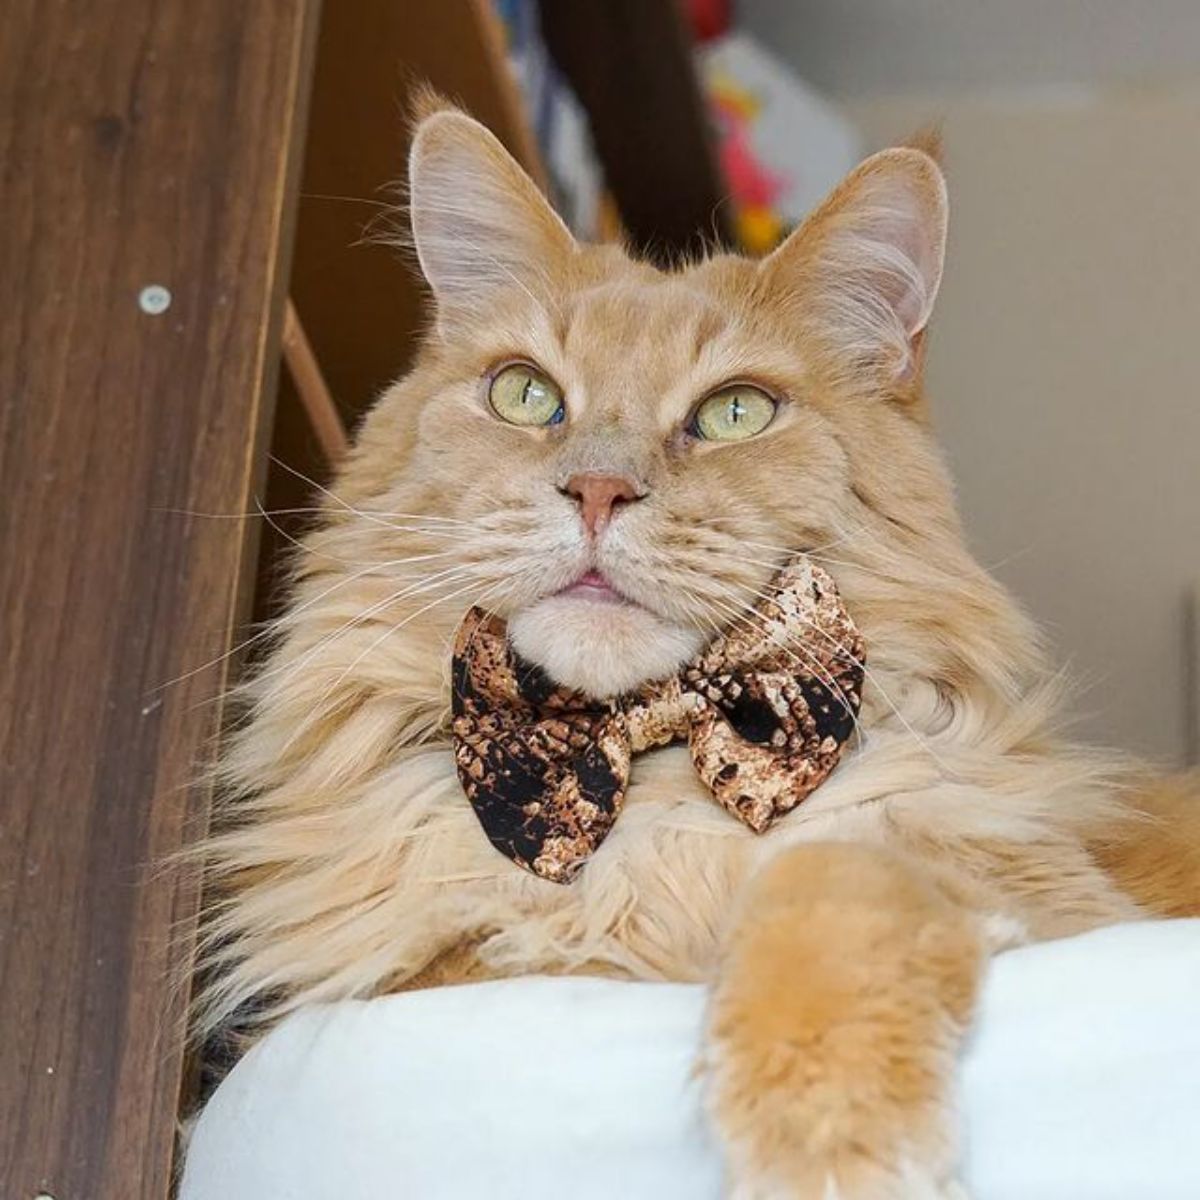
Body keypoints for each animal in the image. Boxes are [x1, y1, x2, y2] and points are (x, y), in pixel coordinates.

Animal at [199, 96, 1200, 1200]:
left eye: (735, 412)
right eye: (524, 396)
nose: (596, 490)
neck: (647, 781)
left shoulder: (1061, 898)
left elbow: (830, 873)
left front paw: (831, 1136)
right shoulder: (409, 980)